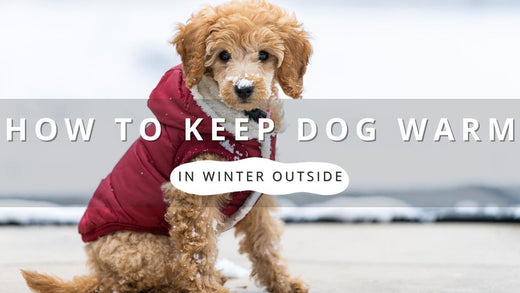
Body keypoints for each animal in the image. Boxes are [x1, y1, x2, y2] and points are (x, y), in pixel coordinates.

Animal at [22, 1, 310, 290]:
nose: (243, 88)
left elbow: (265, 242)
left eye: (264, 54)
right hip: (148, 249)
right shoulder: (192, 194)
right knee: (153, 278)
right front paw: (206, 289)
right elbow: (197, 250)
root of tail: (101, 275)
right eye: (223, 55)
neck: (240, 122)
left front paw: (284, 283)